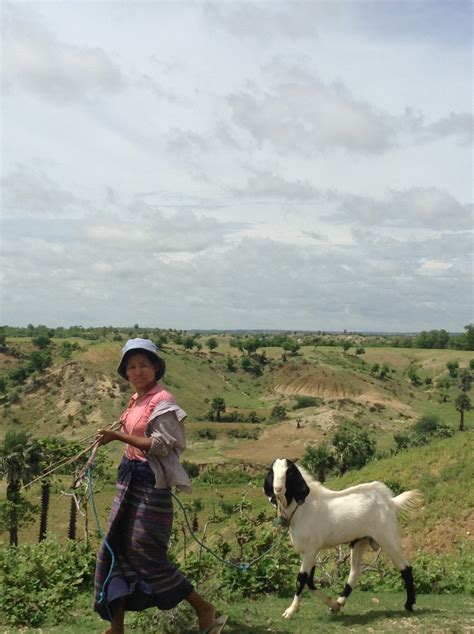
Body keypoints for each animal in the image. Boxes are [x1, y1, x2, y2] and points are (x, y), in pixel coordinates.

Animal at [264, 456, 424, 620]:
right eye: (272, 472)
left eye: (289, 473)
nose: (278, 489)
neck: (304, 509)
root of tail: (390, 502)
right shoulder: (306, 551)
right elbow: (309, 581)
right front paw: (333, 604)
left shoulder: (311, 549)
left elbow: (301, 579)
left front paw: (290, 611)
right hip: (360, 541)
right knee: (355, 571)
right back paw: (339, 602)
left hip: (387, 537)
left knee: (405, 567)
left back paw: (409, 604)